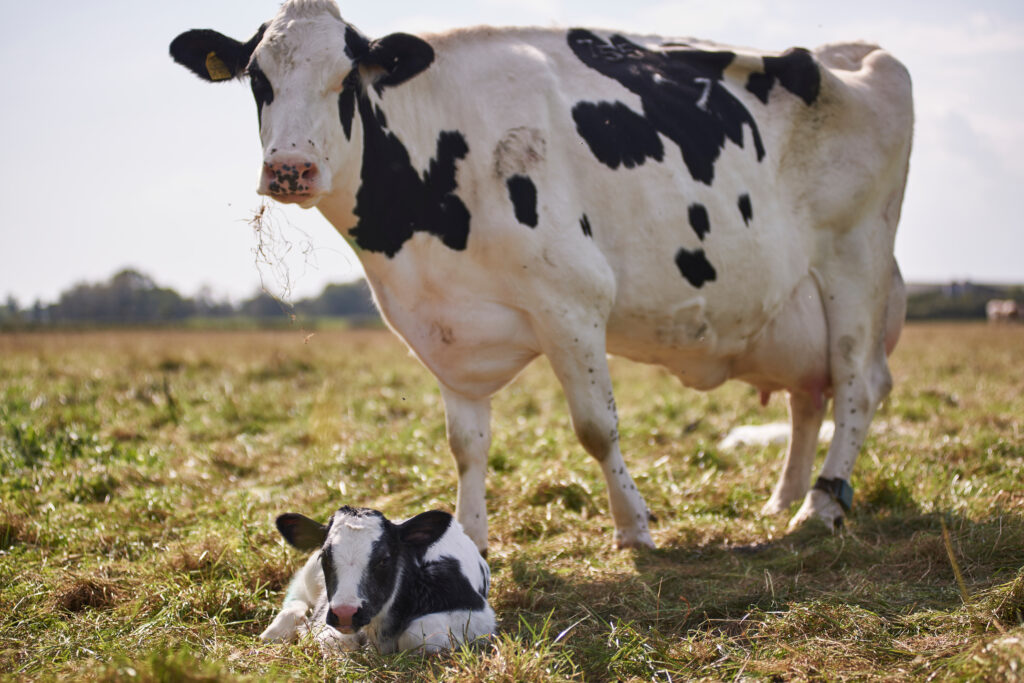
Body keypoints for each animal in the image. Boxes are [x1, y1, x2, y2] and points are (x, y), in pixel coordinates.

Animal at [170, 0, 913, 551]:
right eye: (259, 80)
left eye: (348, 80)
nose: (290, 168)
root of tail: (852, 53)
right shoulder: (447, 327)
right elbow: (466, 445)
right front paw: (470, 539)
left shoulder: (572, 300)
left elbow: (596, 427)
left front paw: (634, 528)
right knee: (808, 394)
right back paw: (784, 495)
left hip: (855, 260)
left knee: (857, 382)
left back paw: (820, 506)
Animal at [260, 506, 495, 653]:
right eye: (324, 557)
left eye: (384, 560)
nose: (345, 613)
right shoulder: (326, 615)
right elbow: (334, 641)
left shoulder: (479, 614)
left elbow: (417, 635)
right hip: (310, 577)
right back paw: (274, 632)